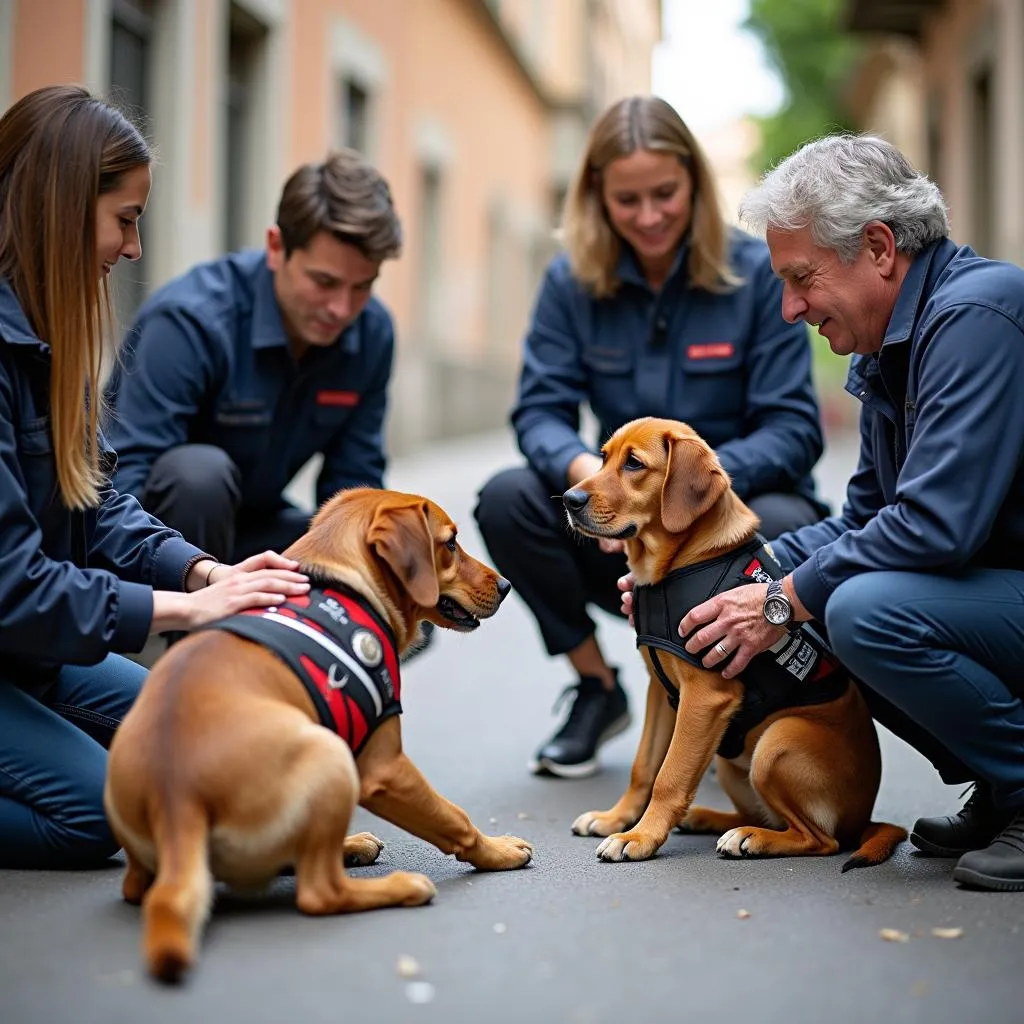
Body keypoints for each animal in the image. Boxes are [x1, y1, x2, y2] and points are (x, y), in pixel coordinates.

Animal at [104, 487, 536, 983]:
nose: (505, 586)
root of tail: (175, 798)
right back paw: (401, 886)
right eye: (450, 543)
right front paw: (496, 851)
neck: (339, 581)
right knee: (319, 892)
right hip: (331, 756)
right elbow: (454, 818)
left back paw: (351, 848)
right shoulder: (385, 768)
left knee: (144, 886)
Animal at [561, 415, 905, 872]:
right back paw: (708, 819)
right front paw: (616, 818)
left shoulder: (704, 697)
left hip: (776, 743)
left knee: (820, 839)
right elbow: (644, 766)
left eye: (634, 464)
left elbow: (669, 776)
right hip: (729, 761)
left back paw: (750, 838)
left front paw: (639, 837)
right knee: (763, 814)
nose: (569, 499)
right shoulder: (660, 691)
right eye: (603, 458)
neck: (679, 563)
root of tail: (864, 818)